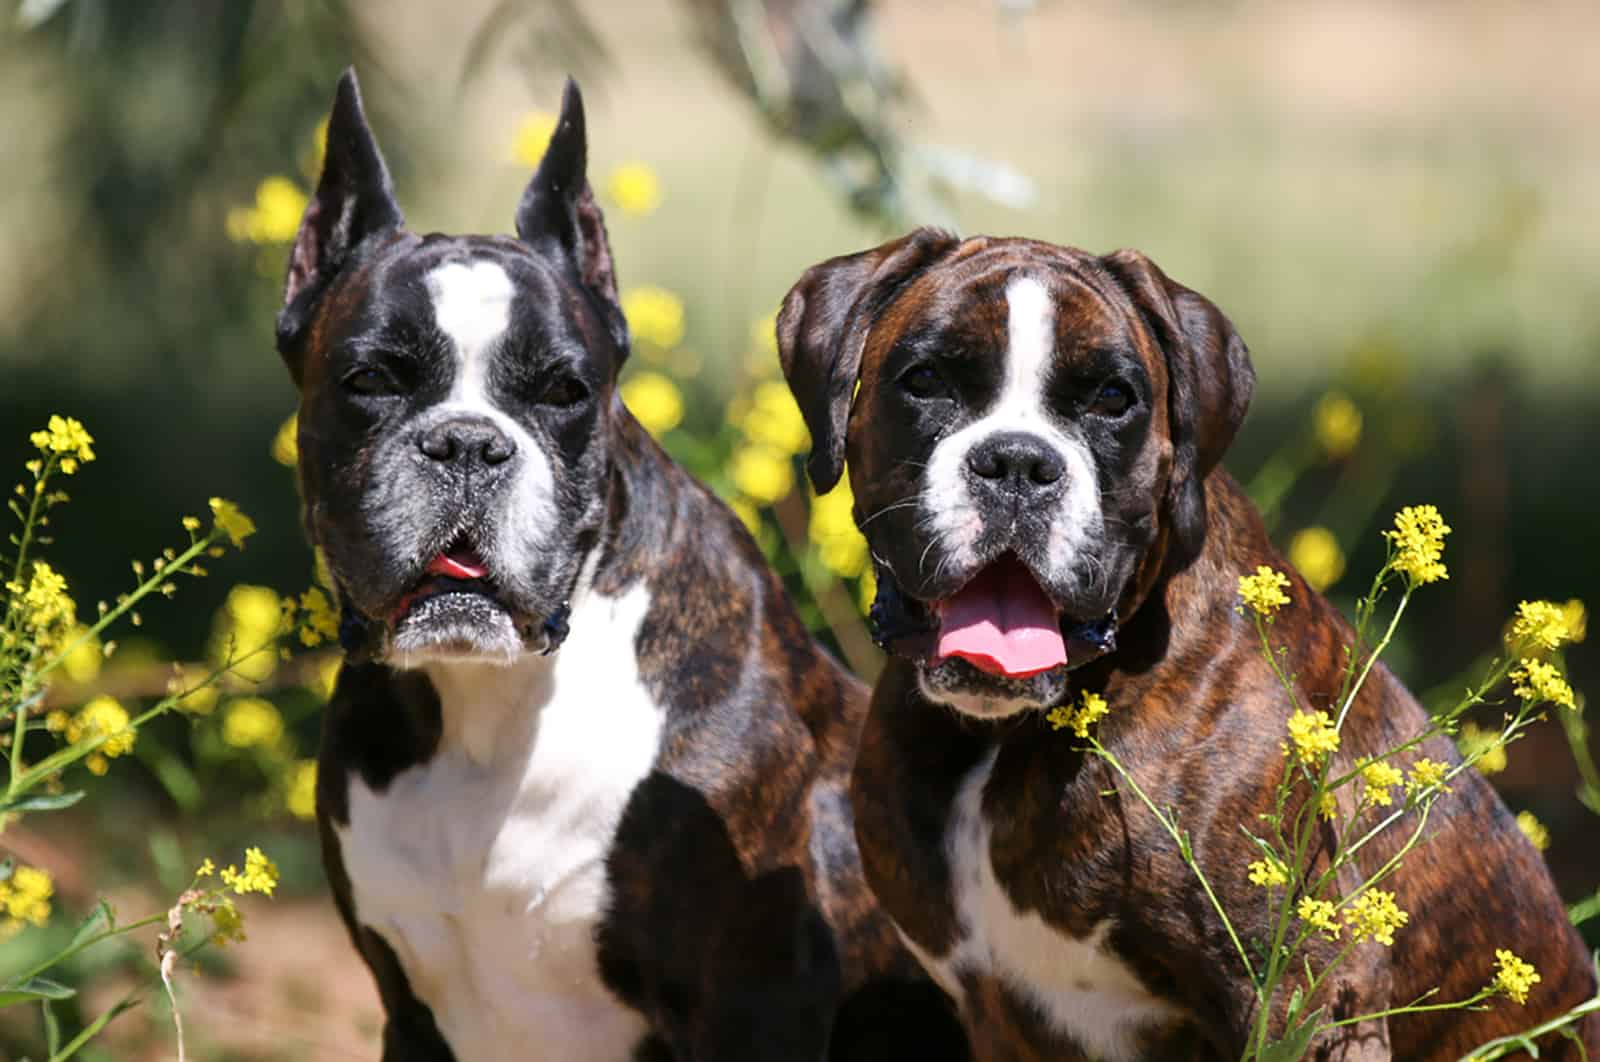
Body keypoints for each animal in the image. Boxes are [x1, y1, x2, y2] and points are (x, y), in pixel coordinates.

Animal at [278, 74, 960, 1062]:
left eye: (566, 391)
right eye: (369, 381)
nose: (467, 443)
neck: (487, 709)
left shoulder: (750, 1005)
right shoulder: (409, 1014)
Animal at [774, 228, 1600, 1055]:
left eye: (1113, 398)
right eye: (926, 380)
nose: (1017, 462)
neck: (1001, 738)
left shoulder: (1306, 1004)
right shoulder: (994, 1014)